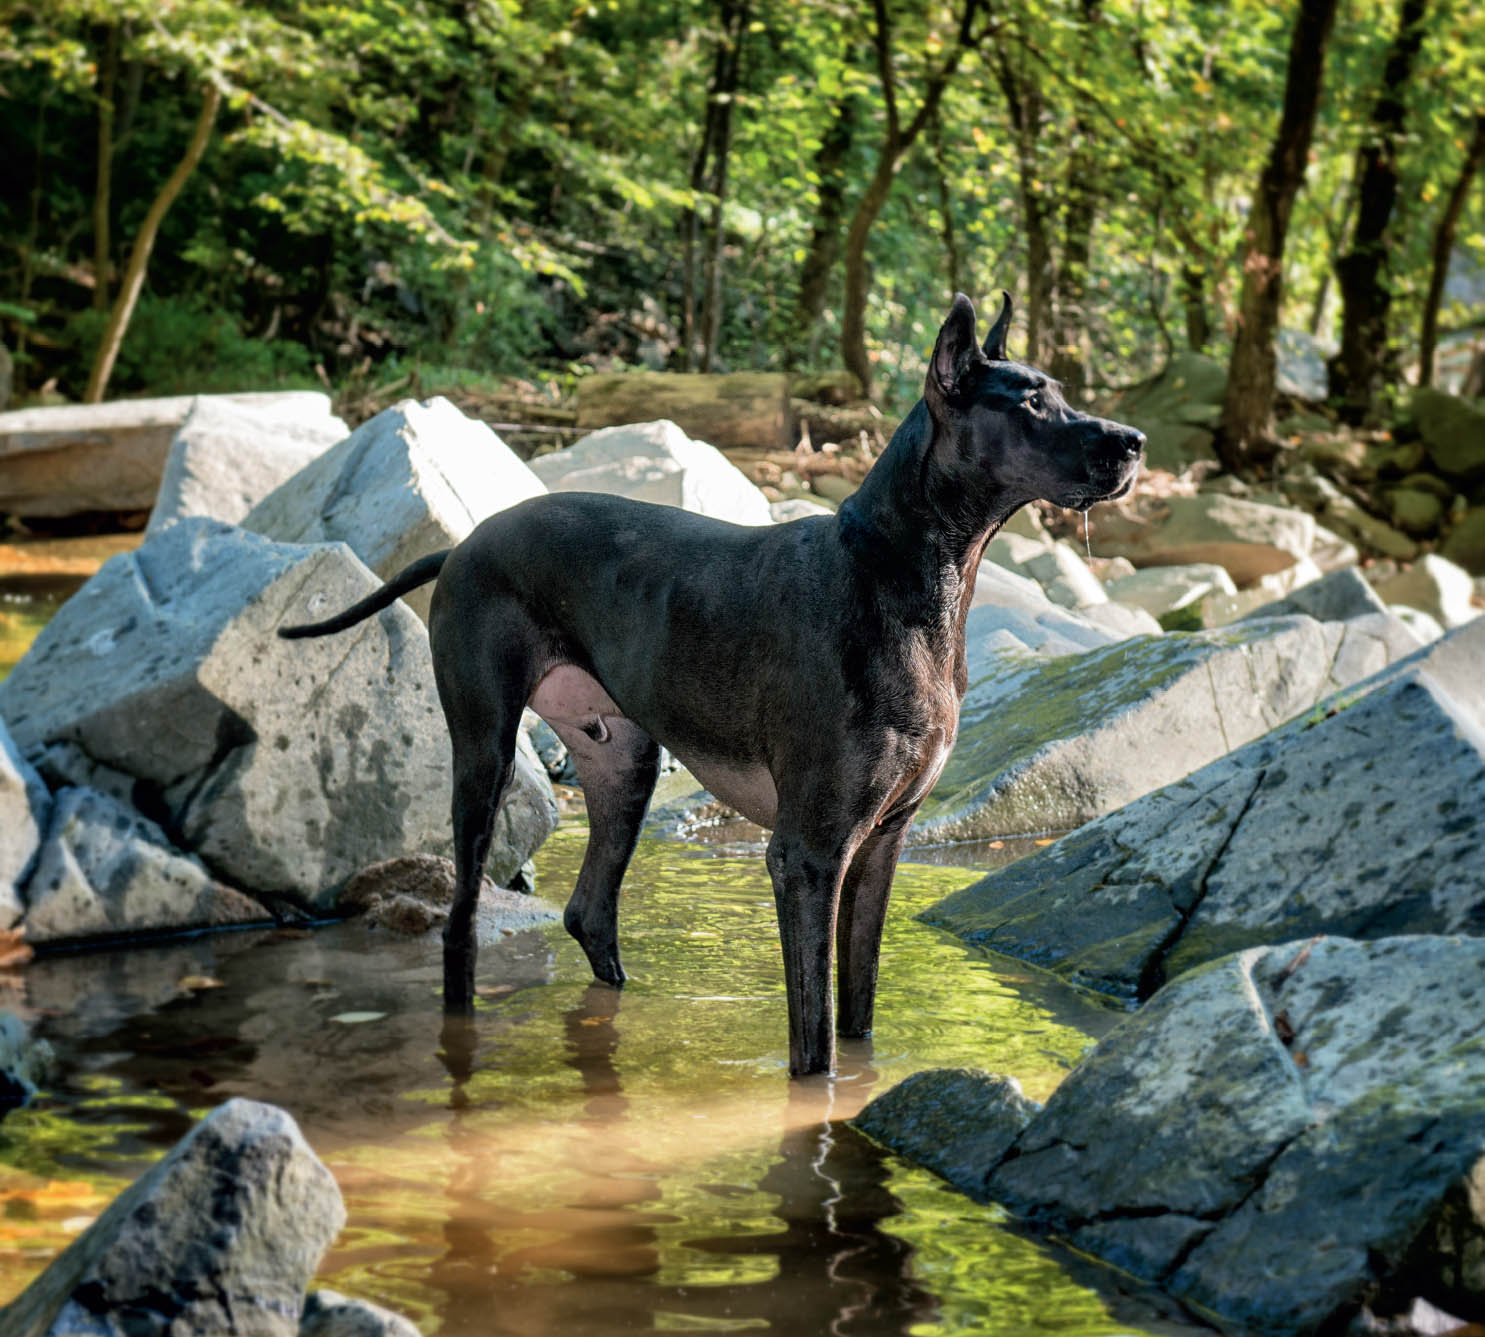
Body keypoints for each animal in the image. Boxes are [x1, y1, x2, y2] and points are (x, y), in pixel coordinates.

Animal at [283, 292, 1140, 1075]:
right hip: (484, 755)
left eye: (1061, 392)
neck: (905, 573)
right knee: (461, 921)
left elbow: (857, 1010)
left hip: (622, 763)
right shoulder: (807, 855)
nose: (1132, 441)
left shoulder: (881, 847)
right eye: (1029, 402)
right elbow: (815, 1042)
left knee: (589, 911)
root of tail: (461, 543)